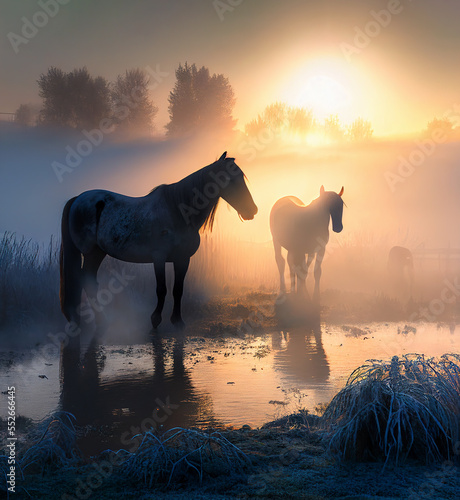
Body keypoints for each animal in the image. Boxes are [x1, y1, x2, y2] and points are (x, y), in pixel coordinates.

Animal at [59, 151, 256, 328]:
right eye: (230, 179)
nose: (252, 210)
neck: (178, 212)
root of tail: (77, 199)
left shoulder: (183, 259)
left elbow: (178, 289)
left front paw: (177, 321)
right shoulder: (159, 258)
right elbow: (162, 289)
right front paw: (155, 320)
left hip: (98, 252)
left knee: (89, 280)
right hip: (91, 252)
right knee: (86, 280)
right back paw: (102, 320)